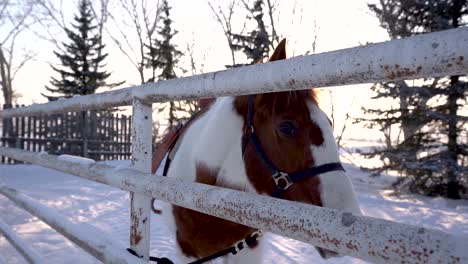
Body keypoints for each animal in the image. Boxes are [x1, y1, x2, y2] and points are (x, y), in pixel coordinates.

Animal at [157, 39, 362, 264]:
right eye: (287, 127)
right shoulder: (186, 251)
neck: (206, 195)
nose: (348, 212)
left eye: (329, 122)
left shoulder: (247, 250)